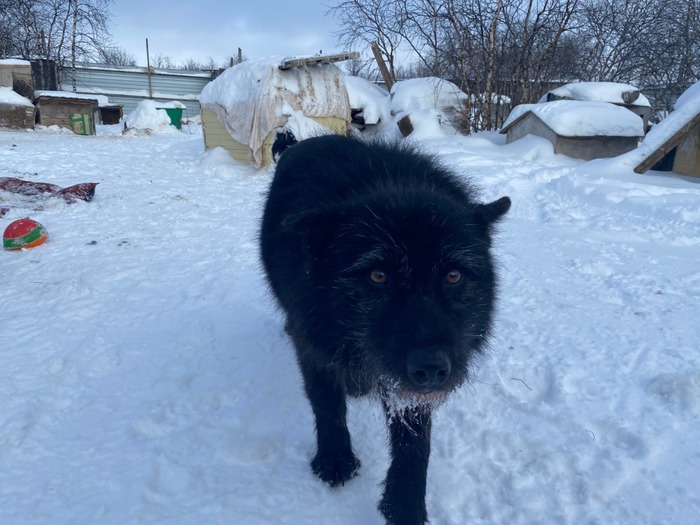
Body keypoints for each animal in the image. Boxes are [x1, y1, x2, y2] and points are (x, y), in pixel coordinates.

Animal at [260, 134, 512, 520]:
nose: (431, 368)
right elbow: (326, 402)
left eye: (454, 275)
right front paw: (335, 458)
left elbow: (416, 443)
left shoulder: (411, 389)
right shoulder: (313, 344)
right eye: (378, 275)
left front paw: (405, 504)